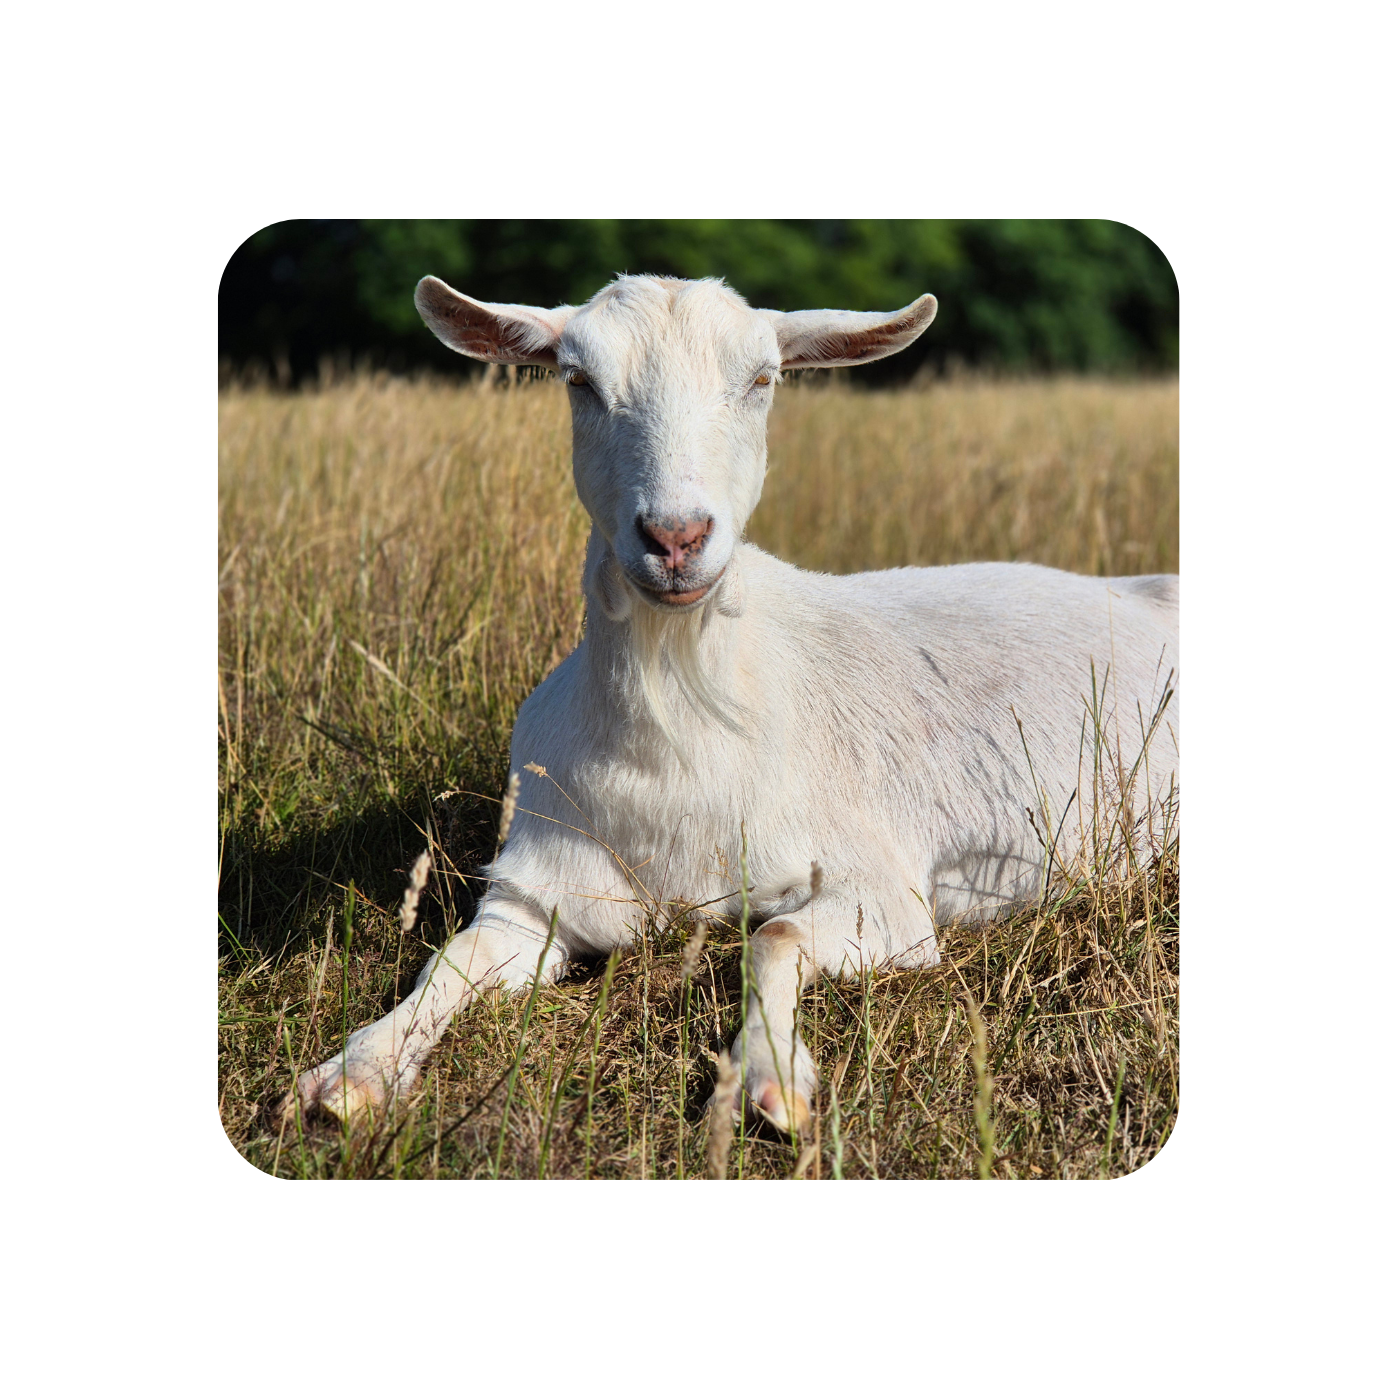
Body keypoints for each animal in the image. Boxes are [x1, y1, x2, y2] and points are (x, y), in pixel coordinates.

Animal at [288, 274, 1180, 1134]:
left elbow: (773, 937)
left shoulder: (886, 890)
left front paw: (772, 1082)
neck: (684, 732)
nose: (676, 537)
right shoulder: (534, 895)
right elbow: (450, 960)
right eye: (578, 380)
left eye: (762, 379)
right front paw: (354, 1072)